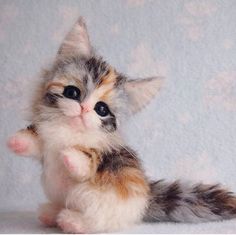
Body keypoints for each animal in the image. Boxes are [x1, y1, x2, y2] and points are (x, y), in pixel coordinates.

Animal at [6, 17, 236, 232]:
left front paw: (68, 154)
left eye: (101, 109)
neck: (69, 130)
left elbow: (86, 160)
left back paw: (72, 221)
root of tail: (145, 200)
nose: (84, 109)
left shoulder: (103, 154)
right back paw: (51, 213)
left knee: (100, 220)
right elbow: (35, 143)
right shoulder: (46, 142)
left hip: (104, 200)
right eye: (72, 92)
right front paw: (15, 142)